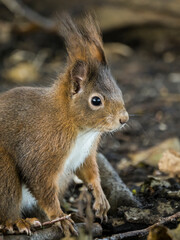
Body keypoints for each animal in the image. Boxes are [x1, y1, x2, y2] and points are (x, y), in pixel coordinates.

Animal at [0, 13, 129, 236]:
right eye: (96, 100)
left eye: (118, 90)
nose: (124, 119)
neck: (81, 131)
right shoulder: (41, 150)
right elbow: (41, 185)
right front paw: (59, 216)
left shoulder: (85, 153)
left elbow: (90, 171)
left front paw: (100, 197)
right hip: (3, 170)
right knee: (7, 204)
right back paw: (17, 222)